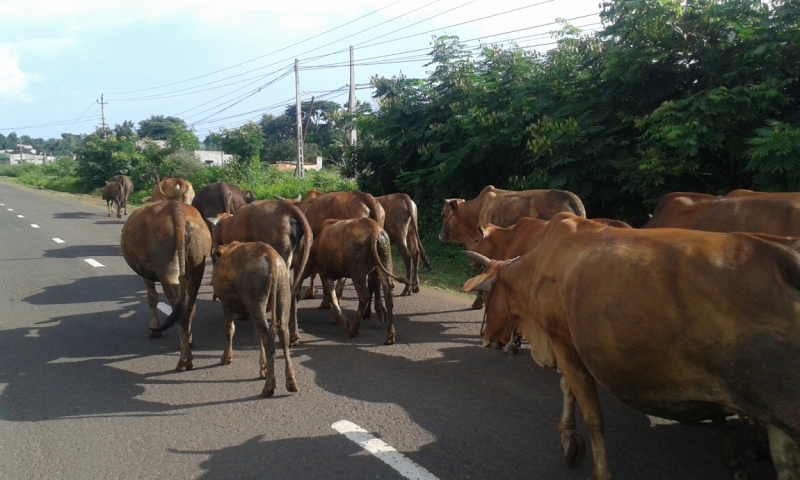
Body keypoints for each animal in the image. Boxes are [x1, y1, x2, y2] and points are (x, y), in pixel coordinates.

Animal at [120, 201, 211, 374]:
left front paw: (153, 329)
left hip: (166, 268)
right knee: (189, 307)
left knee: (179, 311)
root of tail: (177, 210)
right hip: (197, 264)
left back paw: (184, 361)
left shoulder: (145, 273)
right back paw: (188, 341)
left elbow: (152, 298)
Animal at [206, 197, 312, 346]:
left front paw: (243, 314)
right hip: (297, 264)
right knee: (294, 293)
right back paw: (294, 334)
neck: (226, 224)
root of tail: (287, 207)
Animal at [211, 240, 298, 398]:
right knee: (282, 334)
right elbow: (256, 335)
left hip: (256, 300)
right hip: (282, 296)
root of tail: (270, 253)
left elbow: (229, 330)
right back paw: (291, 381)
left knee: (267, 336)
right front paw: (263, 368)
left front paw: (226, 357)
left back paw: (268, 387)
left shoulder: (226, 304)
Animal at [460, 214, 800, 480]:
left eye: (486, 295)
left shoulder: (564, 344)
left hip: (781, 404)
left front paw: (597, 470)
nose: (486, 339)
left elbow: (593, 416)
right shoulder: (570, 345)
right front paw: (570, 441)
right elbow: (568, 389)